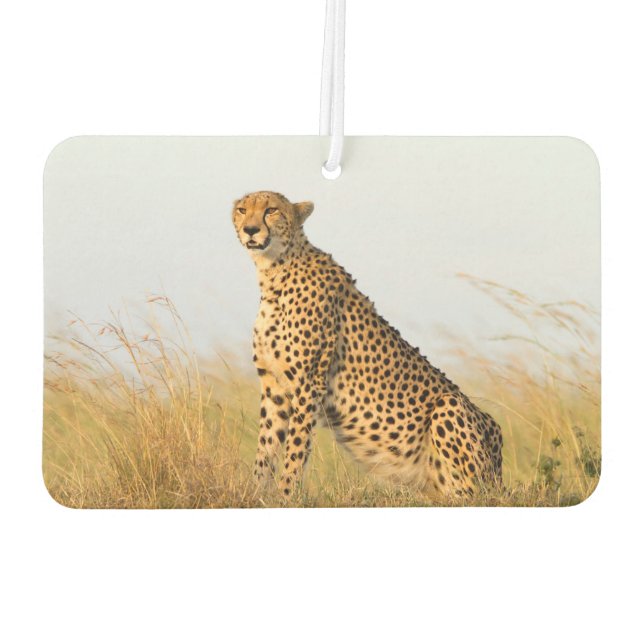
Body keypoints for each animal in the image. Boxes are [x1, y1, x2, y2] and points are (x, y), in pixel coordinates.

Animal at [232, 190, 503, 500]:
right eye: (242, 210)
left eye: (271, 210)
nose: (250, 230)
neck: (275, 271)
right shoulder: (273, 385)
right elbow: (266, 446)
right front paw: (254, 493)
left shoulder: (308, 383)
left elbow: (296, 449)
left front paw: (287, 496)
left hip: (451, 409)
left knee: (472, 493)